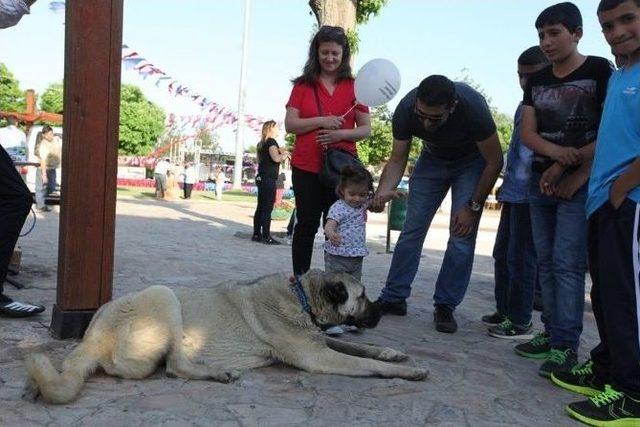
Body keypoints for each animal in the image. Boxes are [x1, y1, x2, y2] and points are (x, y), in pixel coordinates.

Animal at [23, 270, 430, 404]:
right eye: (363, 296)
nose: (383, 310)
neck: (302, 295)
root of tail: (93, 335)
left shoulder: (320, 342)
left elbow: (358, 345)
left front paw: (390, 352)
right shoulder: (318, 356)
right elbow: (363, 363)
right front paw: (408, 372)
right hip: (165, 297)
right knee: (175, 366)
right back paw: (218, 373)